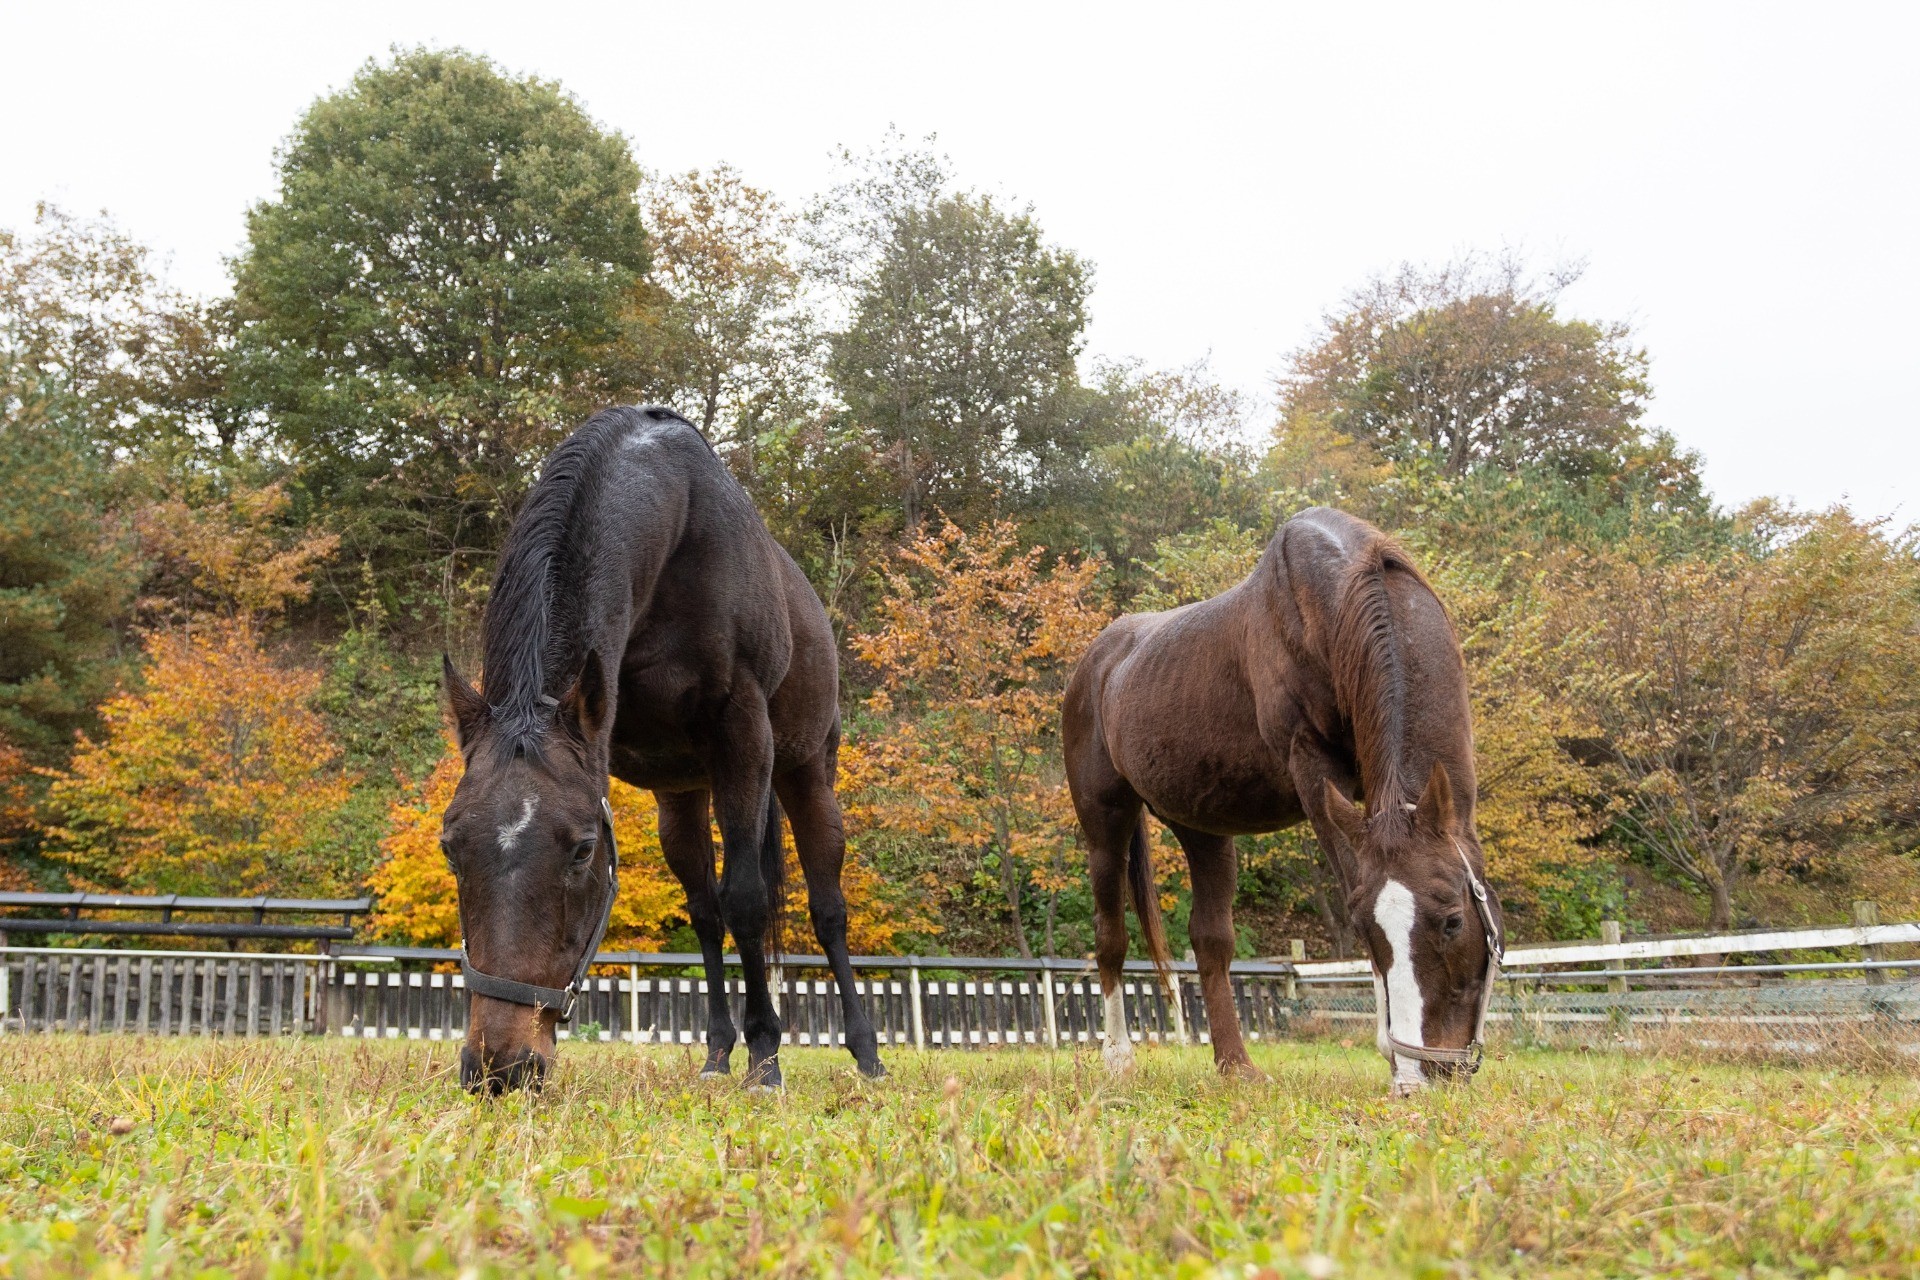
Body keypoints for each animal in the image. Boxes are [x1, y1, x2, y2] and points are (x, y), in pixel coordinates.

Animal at [439, 404, 883, 1097]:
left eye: (583, 849)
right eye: (450, 847)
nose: (500, 1068)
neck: (674, 524)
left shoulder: (742, 732)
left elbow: (749, 900)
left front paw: (767, 1056)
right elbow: (716, 911)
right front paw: (738, 1051)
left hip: (806, 775)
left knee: (826, 908)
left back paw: (864, 1054)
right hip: (684, 794)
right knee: (704, 912)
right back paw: (717, 1053)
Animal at [1067, 506, 1497, 1097]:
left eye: (1453, 920)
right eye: (1365, 929)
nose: (1419, 1076)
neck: (1354, 591)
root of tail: (1094, 663)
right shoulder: (1313, 768)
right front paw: (1388, 1050)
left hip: (1203, 828)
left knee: (1210, 940)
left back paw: (1236, 1066)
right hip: (1105, 826)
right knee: (1110, 935)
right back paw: (1118, 1059)